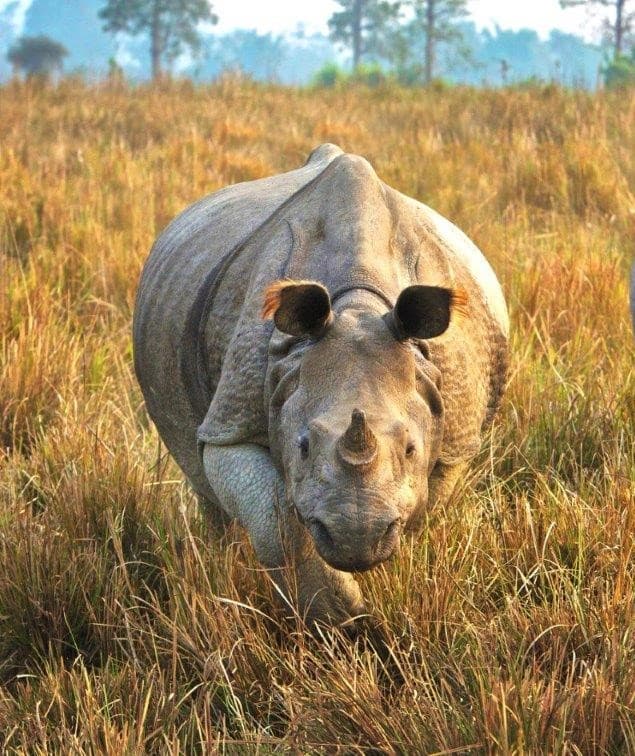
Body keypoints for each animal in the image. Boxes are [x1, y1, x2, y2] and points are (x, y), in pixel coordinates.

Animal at [133, 144, 509, 625]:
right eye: (304, 446)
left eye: (411, 449)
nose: (355, 538)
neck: (358, 305)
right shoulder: (234, 419)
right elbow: (276, 517)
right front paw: (345, 621)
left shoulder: (455, 432)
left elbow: (421, 507)